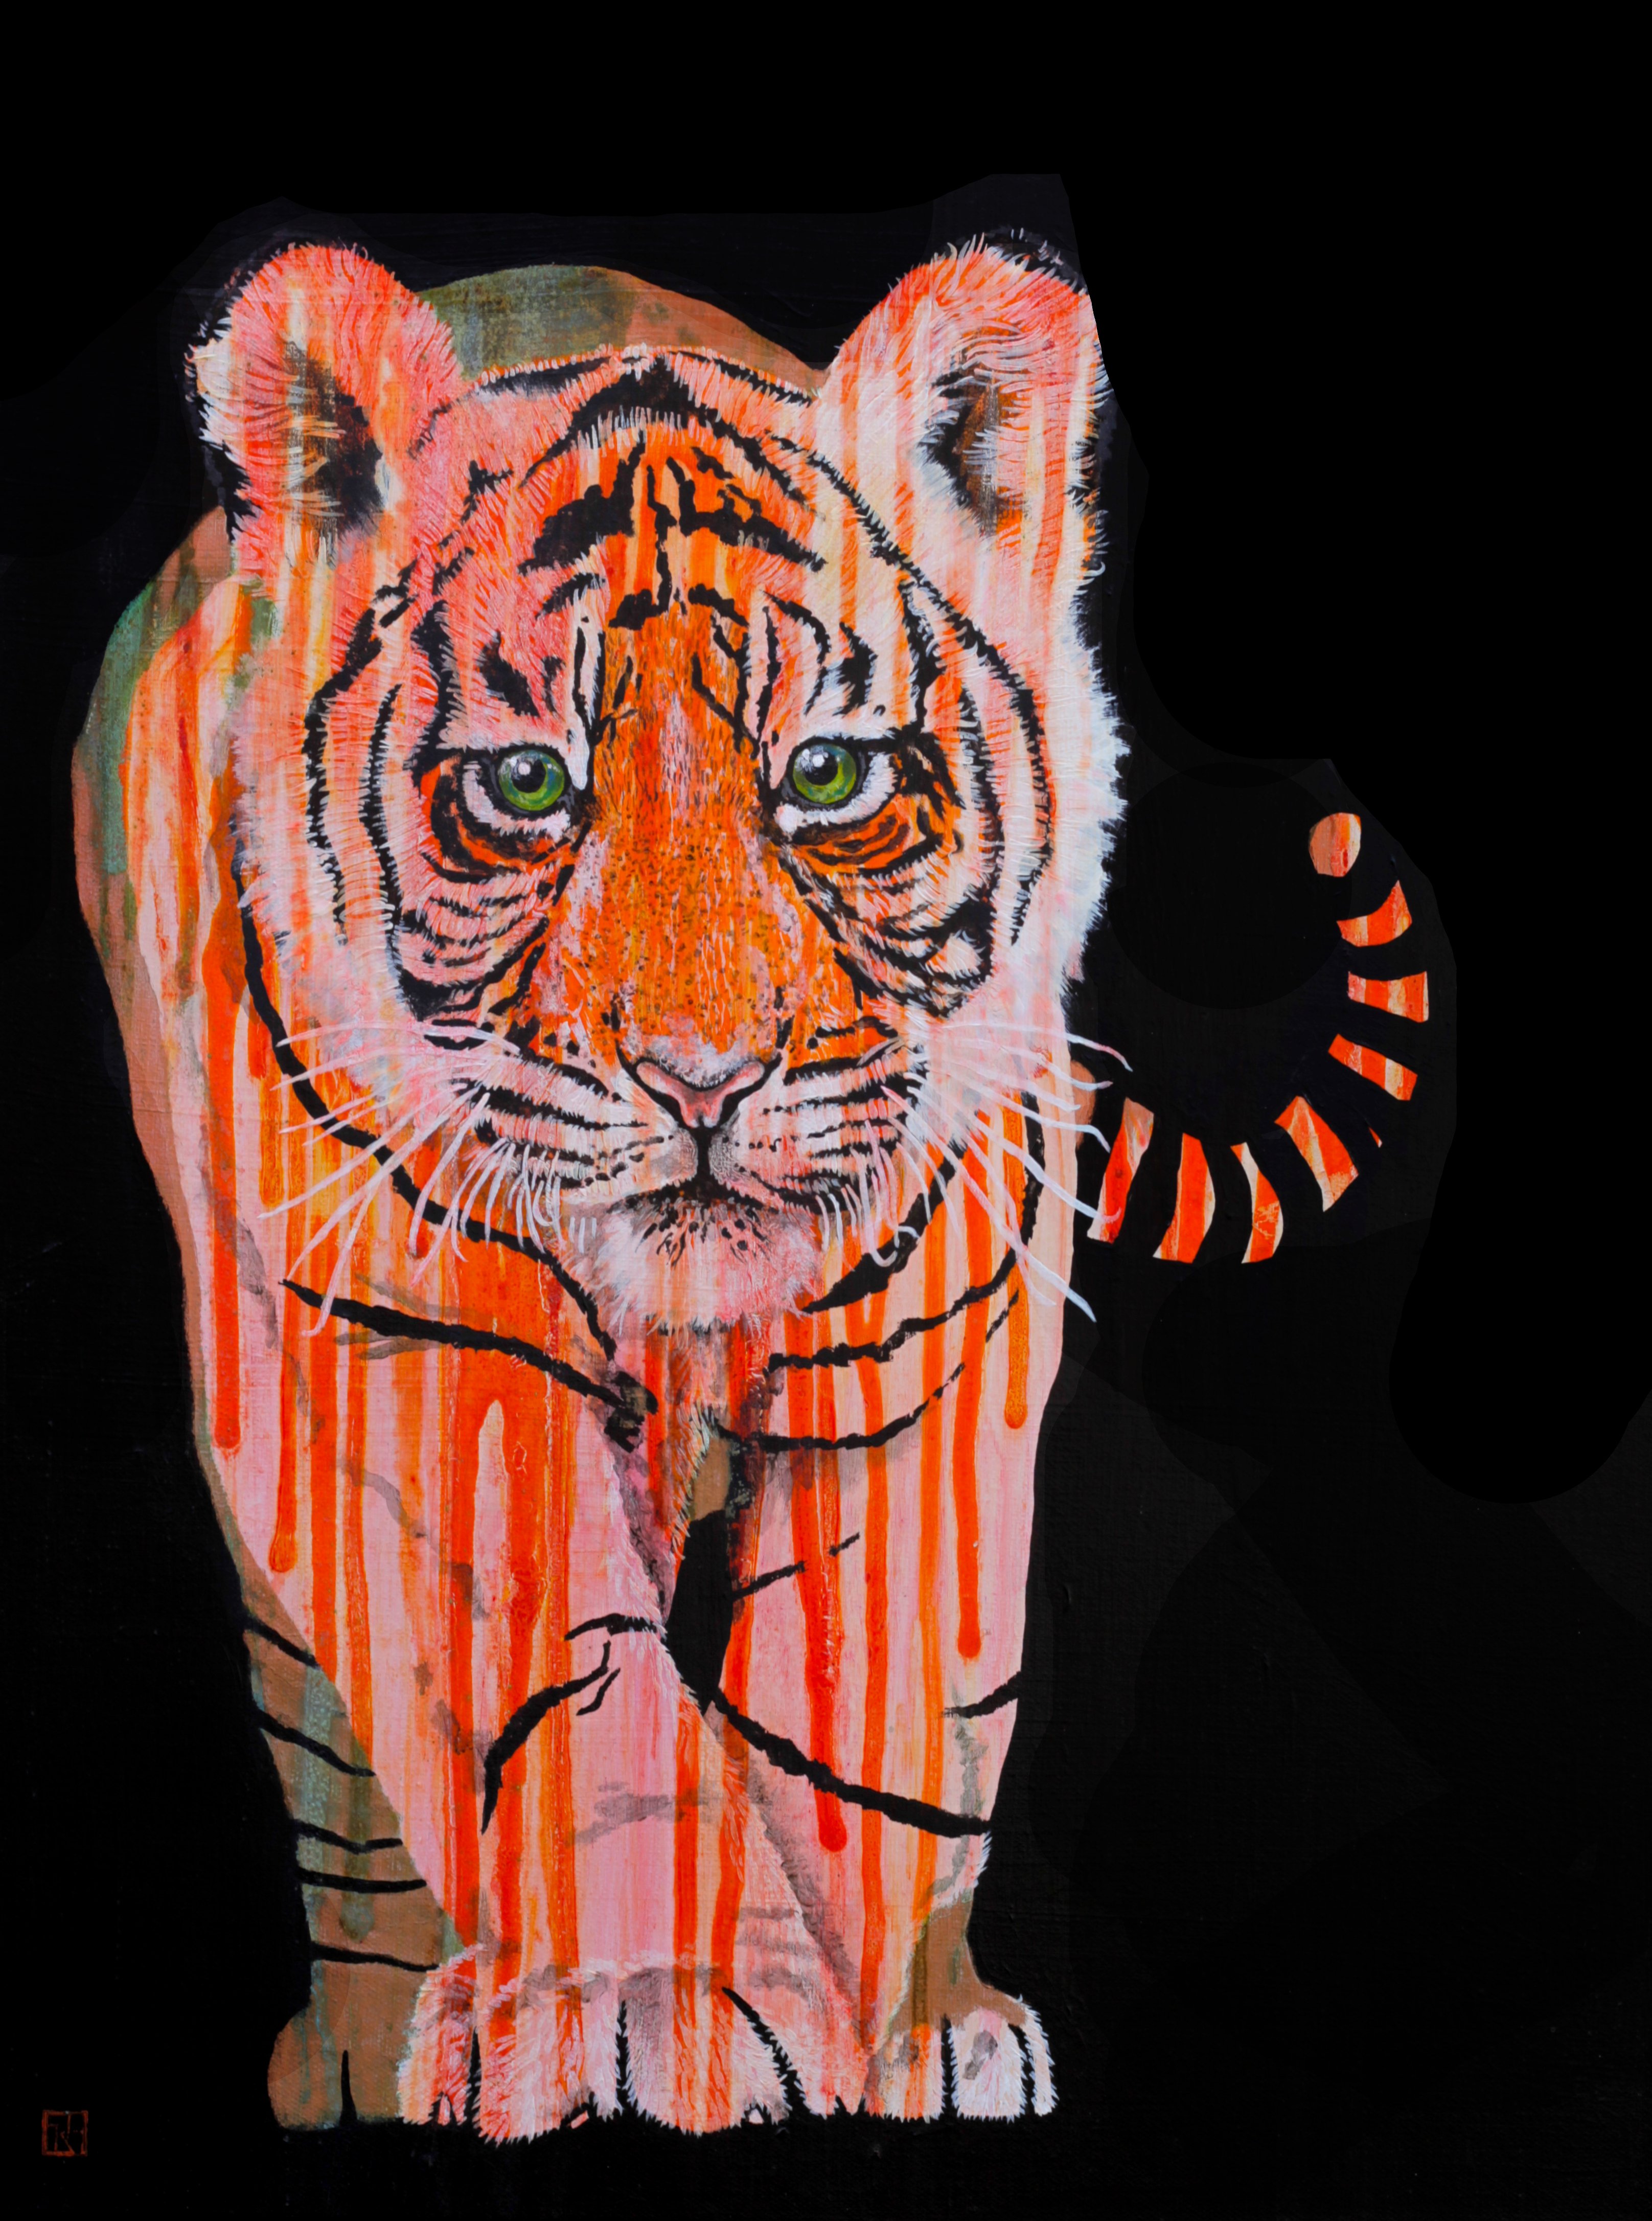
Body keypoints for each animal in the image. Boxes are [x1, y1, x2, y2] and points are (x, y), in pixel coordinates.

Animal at [75, 235, 1119, 2137]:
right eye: (526, 784)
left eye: (831, 773)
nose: (703, 1073)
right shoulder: (407, 1333)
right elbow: (581, 1696)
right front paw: (669, 2006)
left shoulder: (940, 1327)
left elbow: (898, 1723)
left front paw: (905, 2028)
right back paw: (374, 2047)